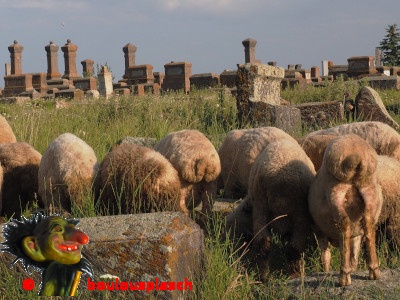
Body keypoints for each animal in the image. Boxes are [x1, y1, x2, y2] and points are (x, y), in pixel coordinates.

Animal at [244, 139, 316, 280]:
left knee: (263, 243)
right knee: (294, 248)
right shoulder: (300, 215)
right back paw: (295, 275)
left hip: (261, 207)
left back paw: (263, 276)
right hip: (299, 214)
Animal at [308, 134, 382, 286]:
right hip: (370, 190)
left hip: (336, 193)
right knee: (369, 227)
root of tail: (356, 155)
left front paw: (326, 271)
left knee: (344, 228)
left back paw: (344, 277)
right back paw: (374, 271)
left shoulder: (318, 230)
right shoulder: (357, 234)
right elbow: (355, 253)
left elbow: (326, 255)